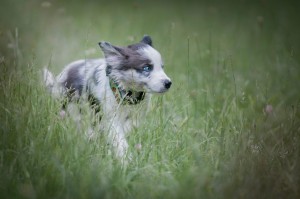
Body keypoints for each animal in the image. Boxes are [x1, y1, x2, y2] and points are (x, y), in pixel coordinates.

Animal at [43, 35, 172, 163]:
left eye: (162, 67)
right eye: (146, 68)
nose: (168, 83)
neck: (128, 96)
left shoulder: (137, 116)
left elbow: (128, 128)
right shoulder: (109, 117)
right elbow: (118, 138)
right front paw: (126, 159)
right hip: (69, 109)